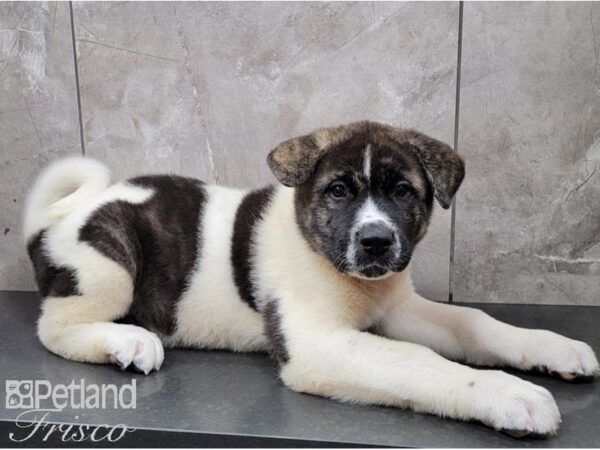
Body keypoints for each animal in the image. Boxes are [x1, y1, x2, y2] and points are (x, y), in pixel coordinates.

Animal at [21, 120, 596, 436]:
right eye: (338, 191)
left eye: (403, 191)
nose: (376, 241)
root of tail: (48, 220)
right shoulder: (319, 343)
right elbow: (417, 361)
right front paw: (509, 394)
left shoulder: (399, 307)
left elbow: (474, 322)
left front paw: (555, 347)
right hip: (108, 263)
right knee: (53, 327)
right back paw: (127, 340)